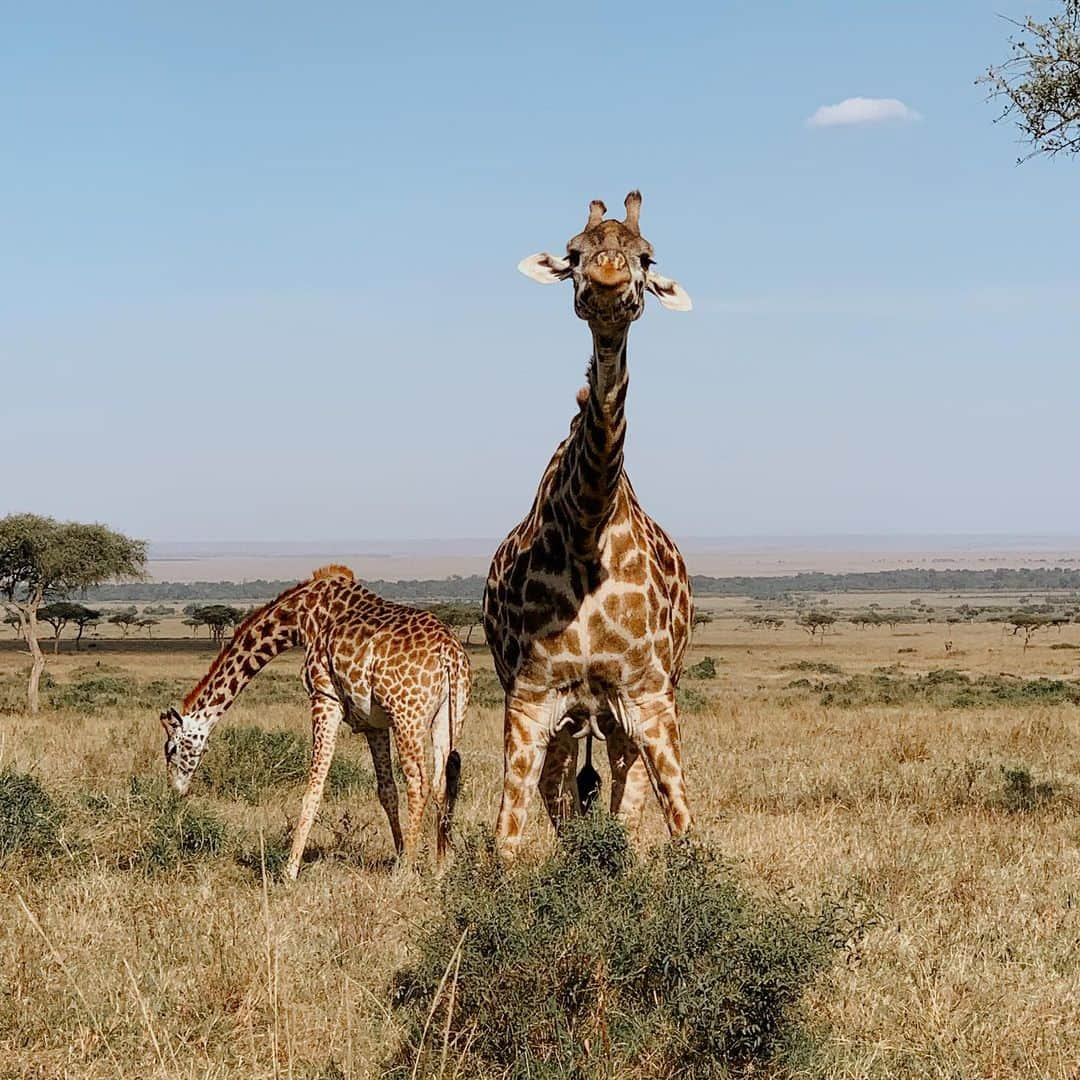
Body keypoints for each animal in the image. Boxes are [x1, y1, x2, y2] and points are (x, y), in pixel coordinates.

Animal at [158, 565, 468, 876]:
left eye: (171, 749)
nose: (176, 791)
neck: (299, 619)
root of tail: (449, 655)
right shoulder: (373, 722)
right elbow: (386, 791)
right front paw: (401, 852)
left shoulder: (324, 697)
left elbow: (314, 788)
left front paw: (289, 869)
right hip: (450, 715)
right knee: (444, 779)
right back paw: (441, 866)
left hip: (407, 715)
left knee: (419, 782)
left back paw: (403, 874)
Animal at [483, 187, 699, 859]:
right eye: (573, 253)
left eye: (648, 258)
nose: (607, 275)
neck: (586, 526)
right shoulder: (530, 699)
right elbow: (507, 838)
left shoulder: (649, 696)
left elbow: (683, 827)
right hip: (571, 718)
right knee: (560, 790)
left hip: (623, 712)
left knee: (626, 795)